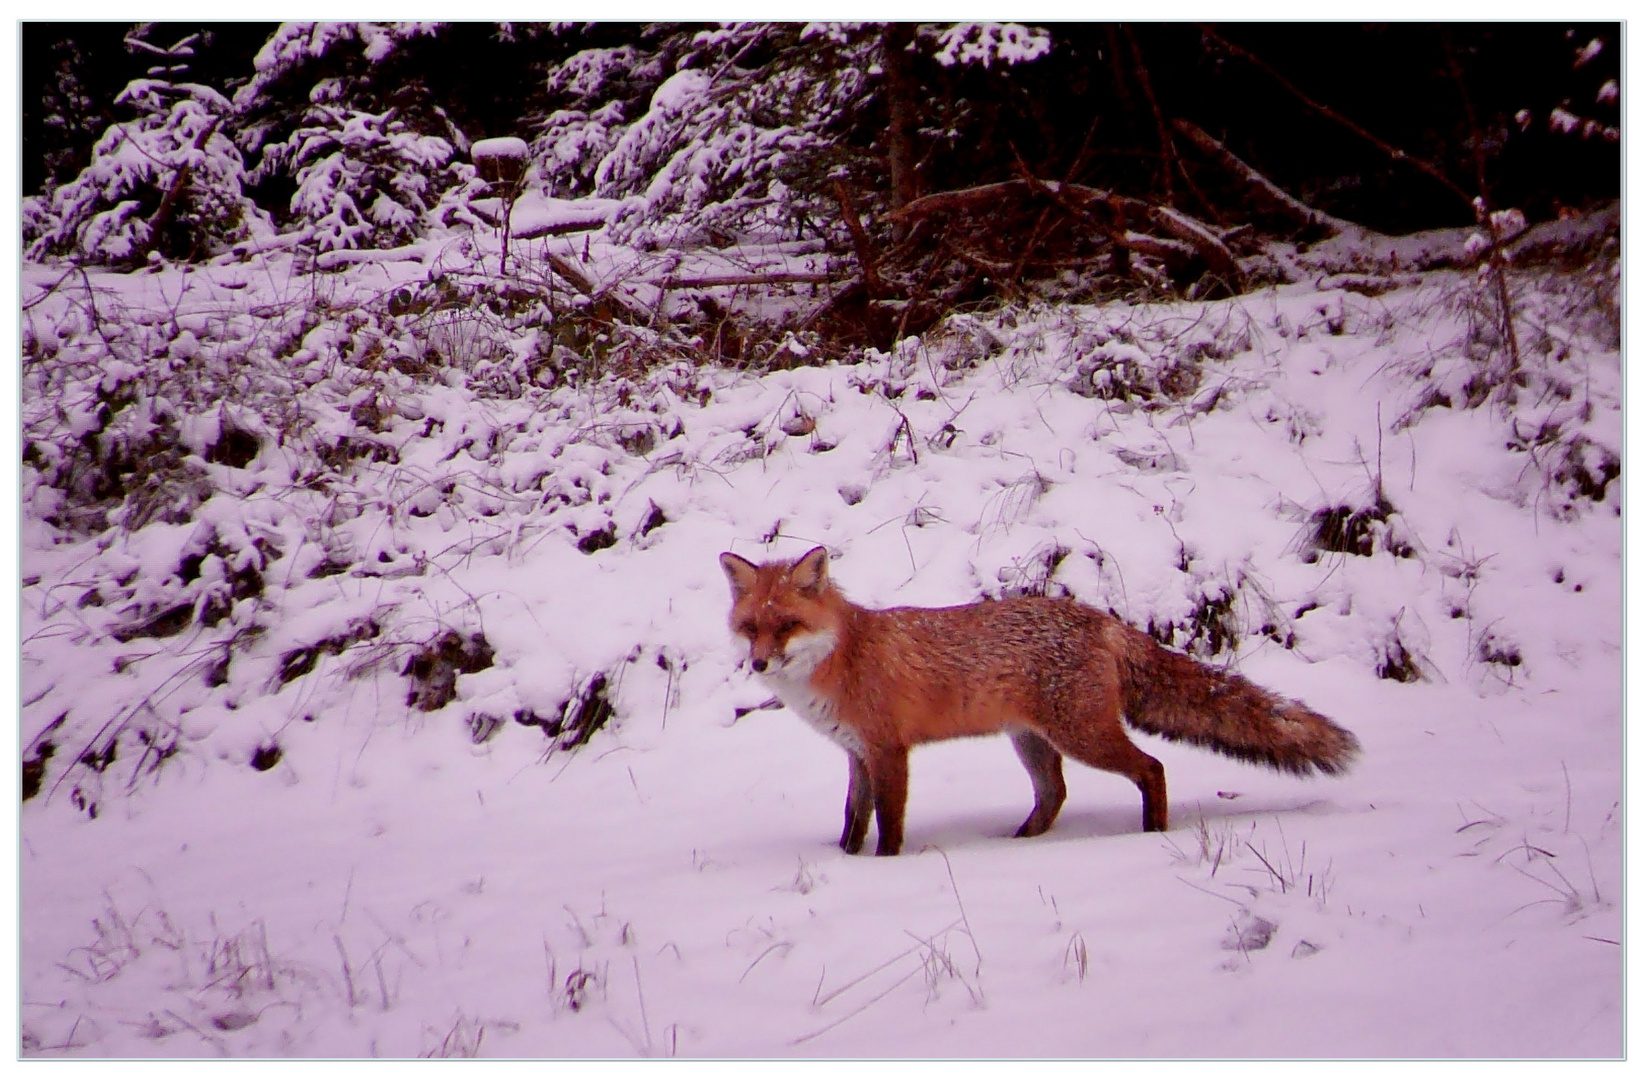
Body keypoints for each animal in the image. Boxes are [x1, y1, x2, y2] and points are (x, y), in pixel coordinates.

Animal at [720, 553, 1362, 856]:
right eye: (751, 628)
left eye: (787, 625)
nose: (758, 664)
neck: (843, 656)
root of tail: (1103, 619)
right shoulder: (857, 754)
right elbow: (854, 819)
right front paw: (846, 862)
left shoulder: (888, 751)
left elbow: (890, 824)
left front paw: (882, 867)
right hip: (1034, 743)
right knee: (1054, 795)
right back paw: (1021, 843)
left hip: (1083, 736)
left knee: (1152, 768)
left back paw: (1152, 833)